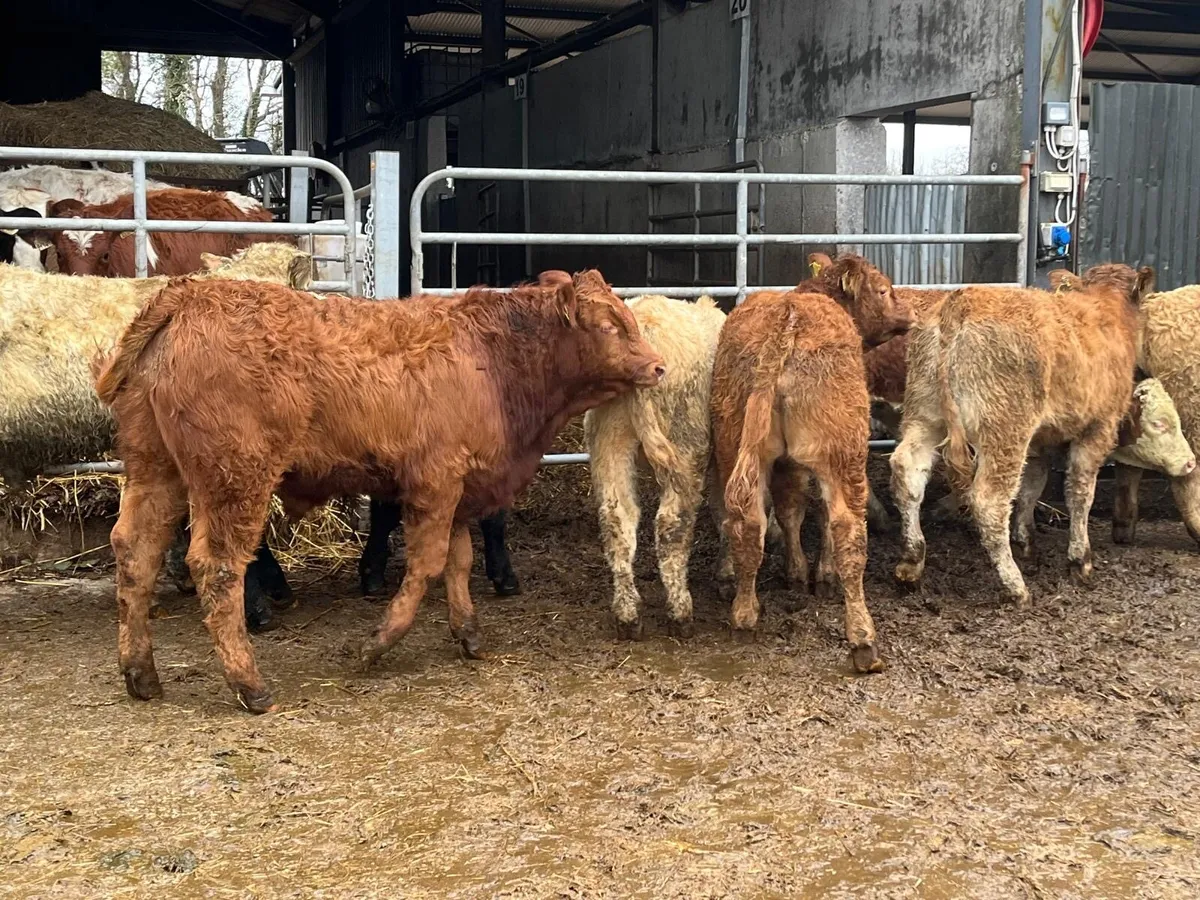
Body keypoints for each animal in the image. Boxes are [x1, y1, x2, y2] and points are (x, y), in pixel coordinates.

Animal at [94, 269, 665, 713]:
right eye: (609, 325)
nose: (658, 365)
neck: (493, 358)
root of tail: (189, 295)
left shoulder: (462, 490)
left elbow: (458, 562)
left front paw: (469, 633)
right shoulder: (435, 483)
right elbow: (427, 565)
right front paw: (378, 642)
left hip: (155, 467)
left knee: (135, 551)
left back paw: (141, 674)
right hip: (236, 479)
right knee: (217, 567)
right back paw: (249, 684)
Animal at [711, 257, 913, 673]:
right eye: (883, 289)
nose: (911, 313)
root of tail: (788, 318)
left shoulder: (787, 465)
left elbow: (790, 512)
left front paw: (796, 572)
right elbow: (816, 514)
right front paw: (821, 574)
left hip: (735, 443)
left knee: (746, 524)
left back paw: (744, 613)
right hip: (843, 453)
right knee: (847, 529)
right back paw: (863, 641)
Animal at [890, 265, 1155, 607]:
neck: (1105, 307)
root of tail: (960, 302)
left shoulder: (1040, 440)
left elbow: (1033, 484)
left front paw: (1026, 540)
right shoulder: (1099, 426)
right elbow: (1080, 493)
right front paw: (1080, 560)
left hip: (924, 414)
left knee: (907, 472)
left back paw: (911, 563)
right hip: (1004, 430)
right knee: (989, 501)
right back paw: (1016, 587)